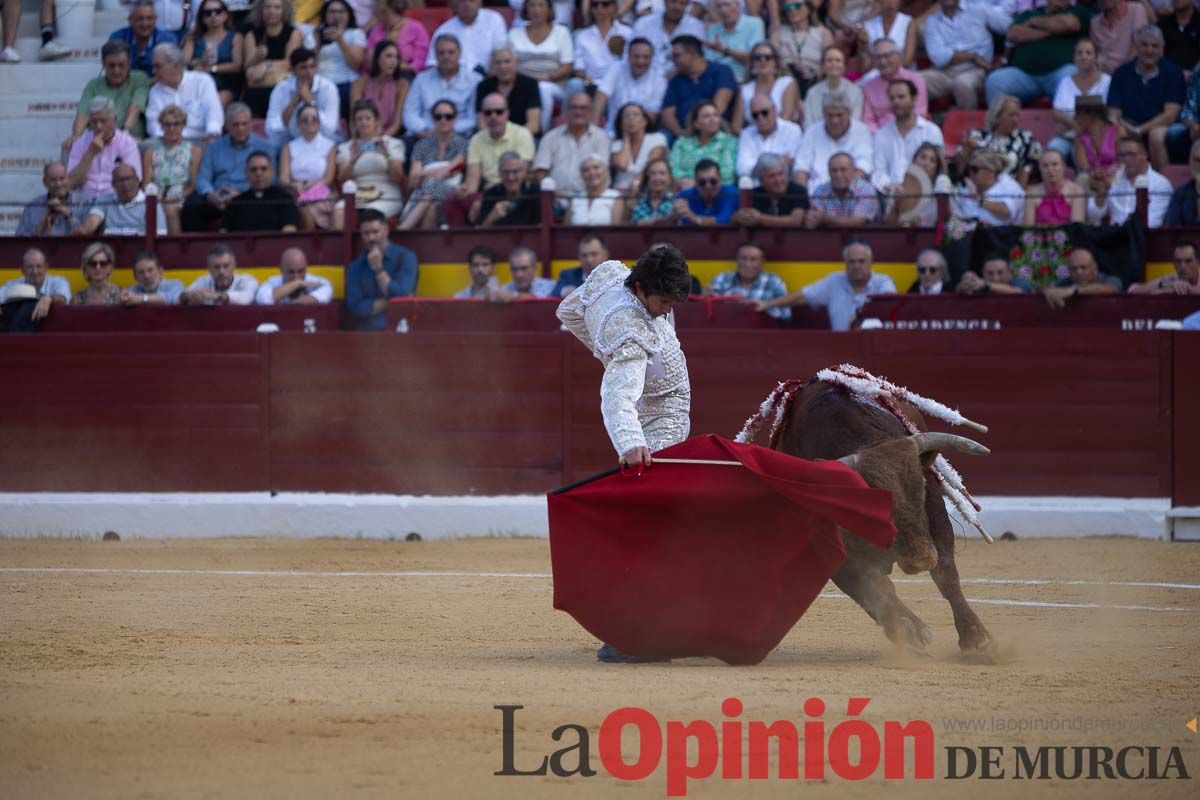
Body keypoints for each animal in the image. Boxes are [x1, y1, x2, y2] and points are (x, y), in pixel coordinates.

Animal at [758, 376, 993, 657]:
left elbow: (946, 572)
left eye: (923, 487)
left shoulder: (935, 515)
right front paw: (906, 629)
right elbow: (867, 586)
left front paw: (976, 637)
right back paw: (911, 628)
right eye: (873, 503)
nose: (920, 559)